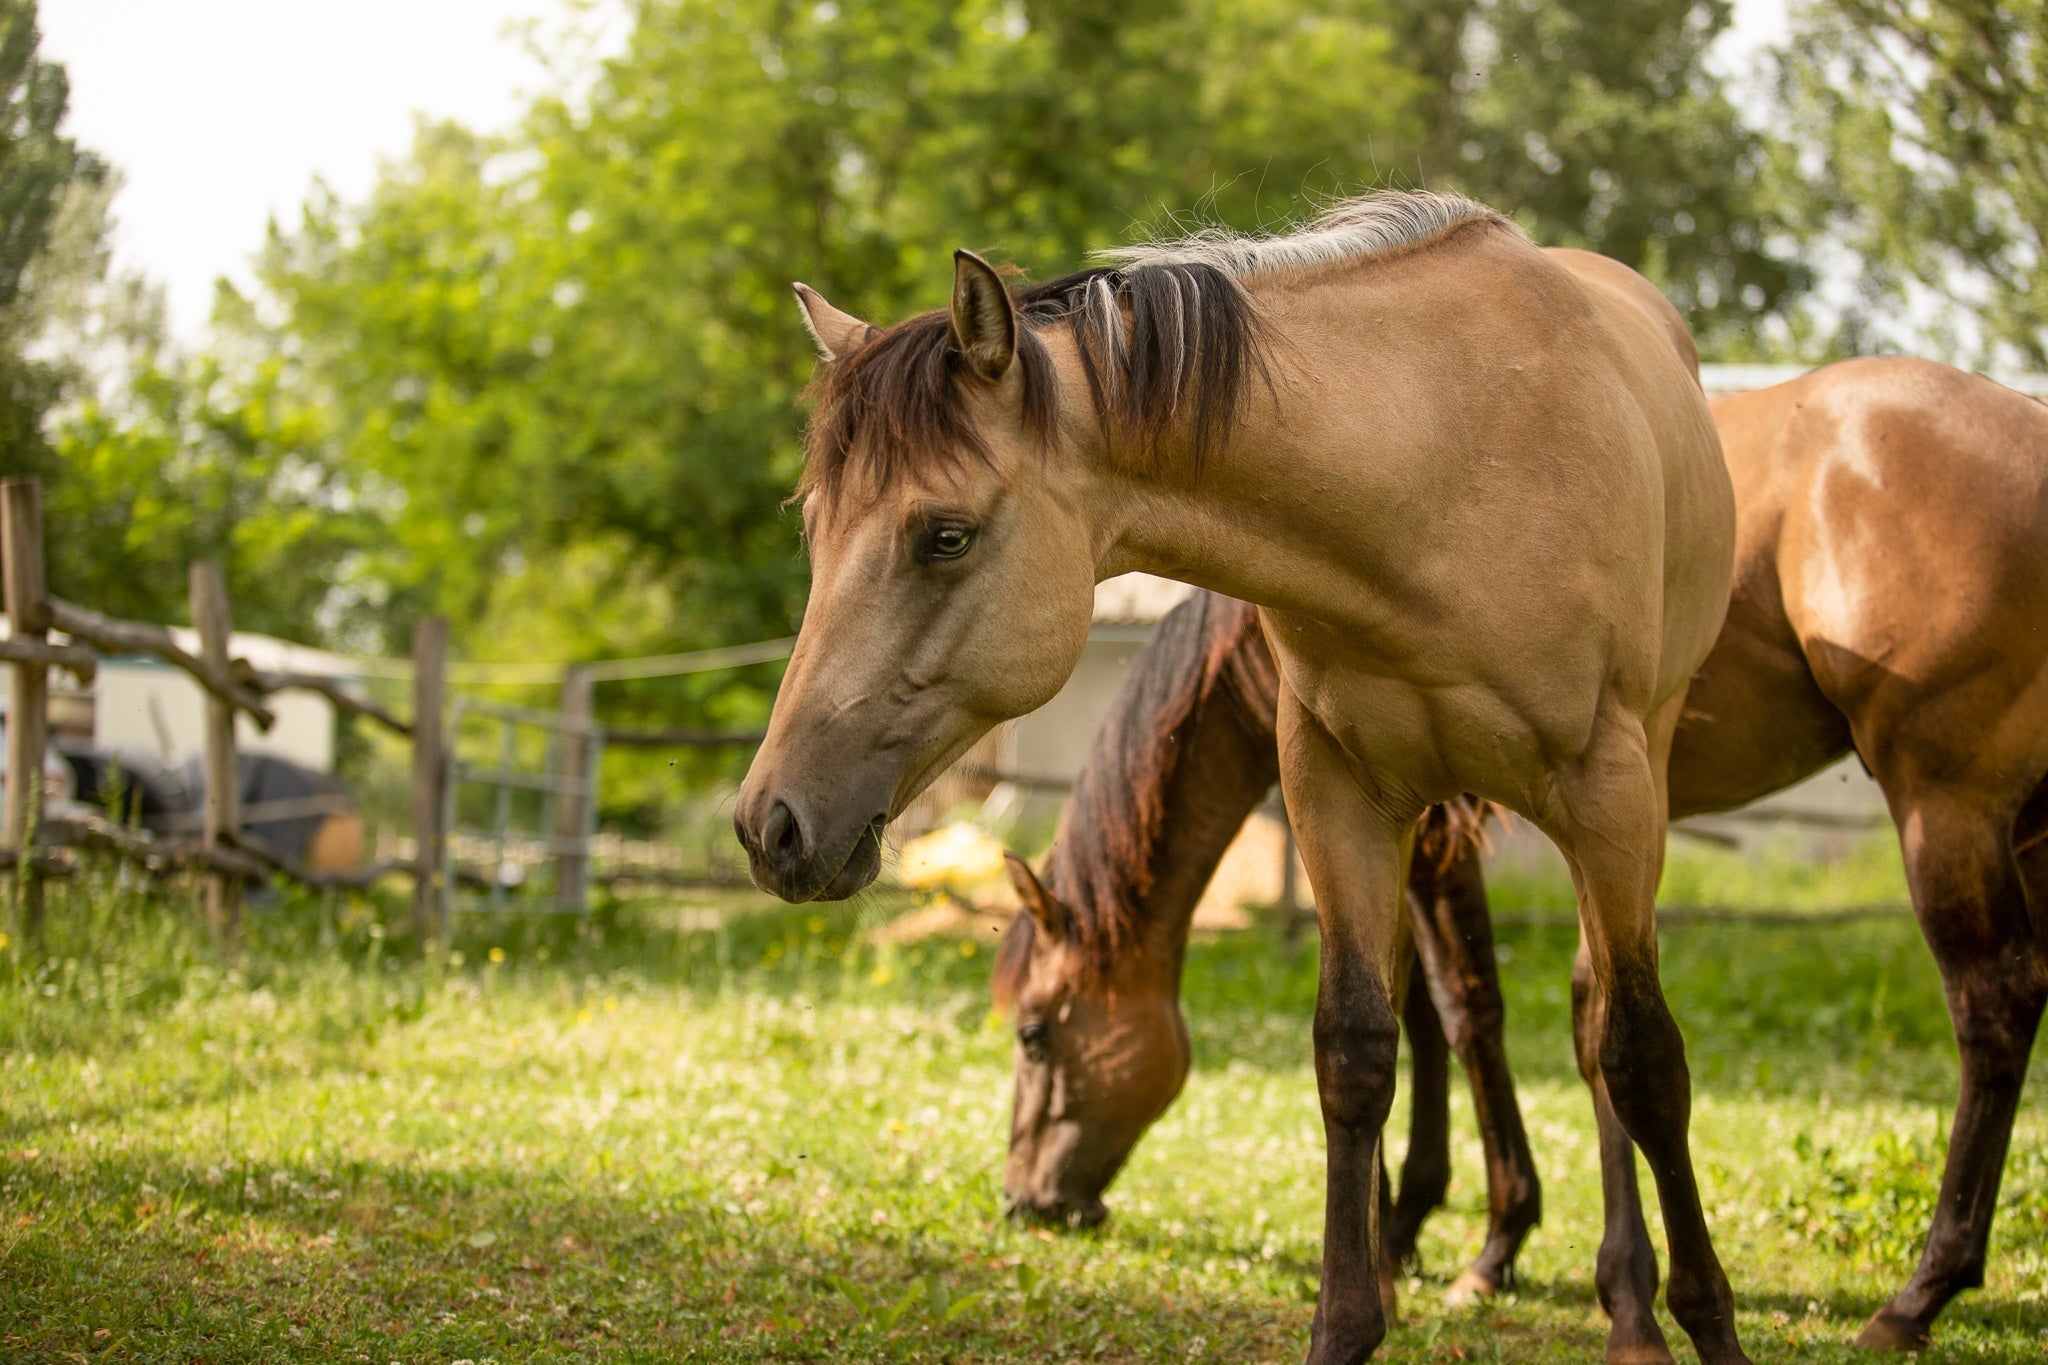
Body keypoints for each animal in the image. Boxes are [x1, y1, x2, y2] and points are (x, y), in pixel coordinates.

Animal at [734, 190, 1750, 1365]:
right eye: (813, 527)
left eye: (944, 535)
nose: (770, 824)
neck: (1442, 477)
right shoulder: (1343, 793)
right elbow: (1364, 1043)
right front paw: (1369, 1288)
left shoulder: (1588, 799)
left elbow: (1626, 1054)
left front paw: (1676, 1310)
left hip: (1634, 800)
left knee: (1599, 1021)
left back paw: (1627, 1298)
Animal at [995, 356, 2048, 1354]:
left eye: (1037, 1033)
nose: (1025, 1199)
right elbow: (1427, 1012)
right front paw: (1417, 1224)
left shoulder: (1434, 827)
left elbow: (1463, 1011)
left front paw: (1472, 1234)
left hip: (1945, 806)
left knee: (1993, 1002)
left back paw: (1920, 1293)